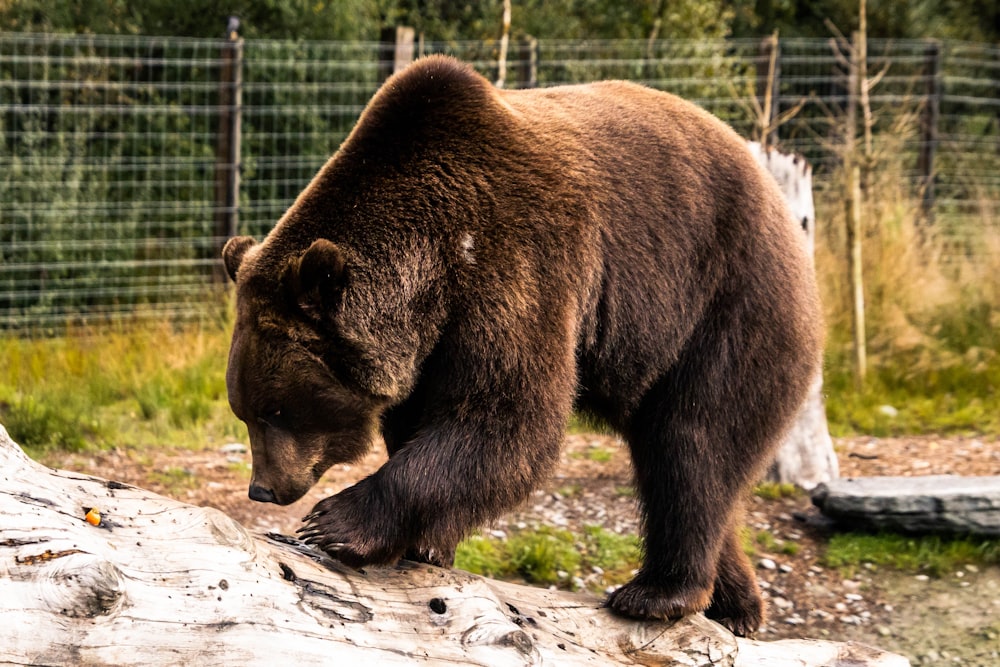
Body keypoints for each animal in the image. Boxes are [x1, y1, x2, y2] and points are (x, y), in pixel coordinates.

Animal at [223, 56, 824, 636]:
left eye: (278, 410)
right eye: (245, 411)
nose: (263, 490)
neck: (436, 266)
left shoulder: (518, 262)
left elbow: (507, 418)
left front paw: (335, 522)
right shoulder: (432, 346)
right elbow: (432, 425)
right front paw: (426, 546)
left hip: (726, 304)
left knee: (691, 440)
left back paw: (659, 593)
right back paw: (736, 605)